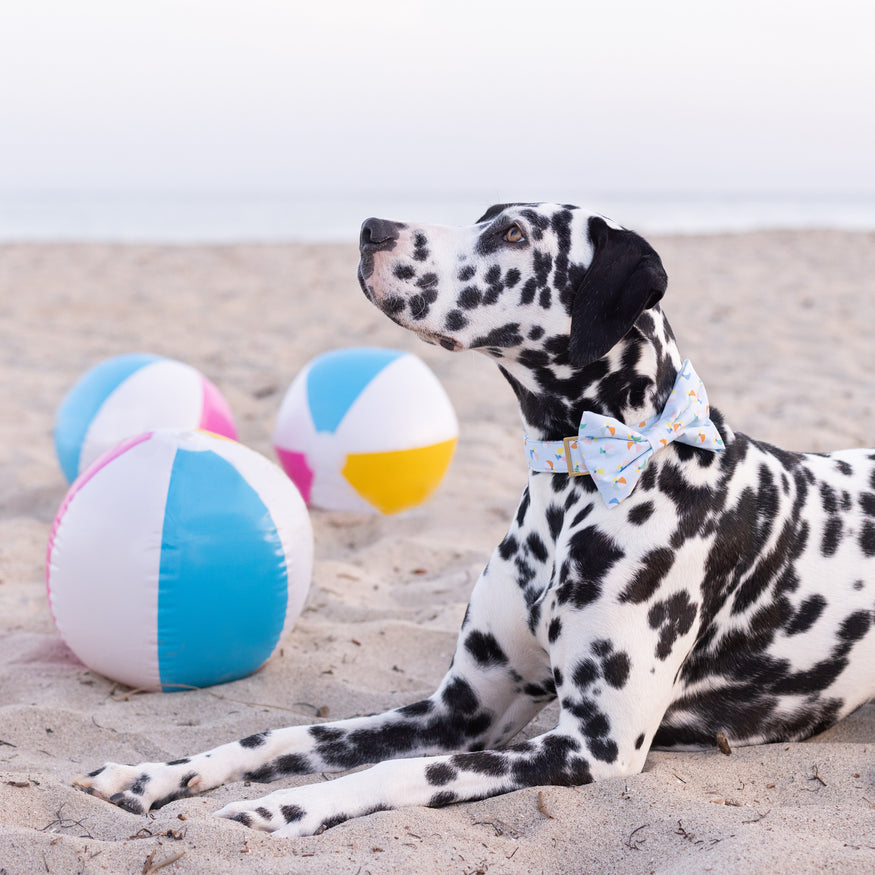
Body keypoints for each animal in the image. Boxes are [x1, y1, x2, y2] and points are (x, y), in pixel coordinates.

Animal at [77, 202, 875, 840]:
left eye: (514, 232)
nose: (372, 228)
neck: (575, 487)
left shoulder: (592, 745)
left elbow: (402, 774)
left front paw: (288, 807)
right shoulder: (461, 709)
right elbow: (274, 734)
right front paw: (152, 774)